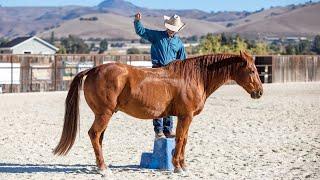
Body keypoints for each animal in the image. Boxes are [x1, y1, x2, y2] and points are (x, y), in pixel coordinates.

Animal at [52, 50, 262, 173]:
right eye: (251, 70)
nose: (259, 92)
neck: (194, 77)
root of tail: (93, 69)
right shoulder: (186, 116)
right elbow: (180, 139)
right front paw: (178, 167)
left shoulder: (186, 117)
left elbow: (184, 140)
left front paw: (184, 165)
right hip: (104, 114)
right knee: (94, 135)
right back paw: (103, 168)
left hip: (103, 115)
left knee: (99, 138)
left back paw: (100, 166)